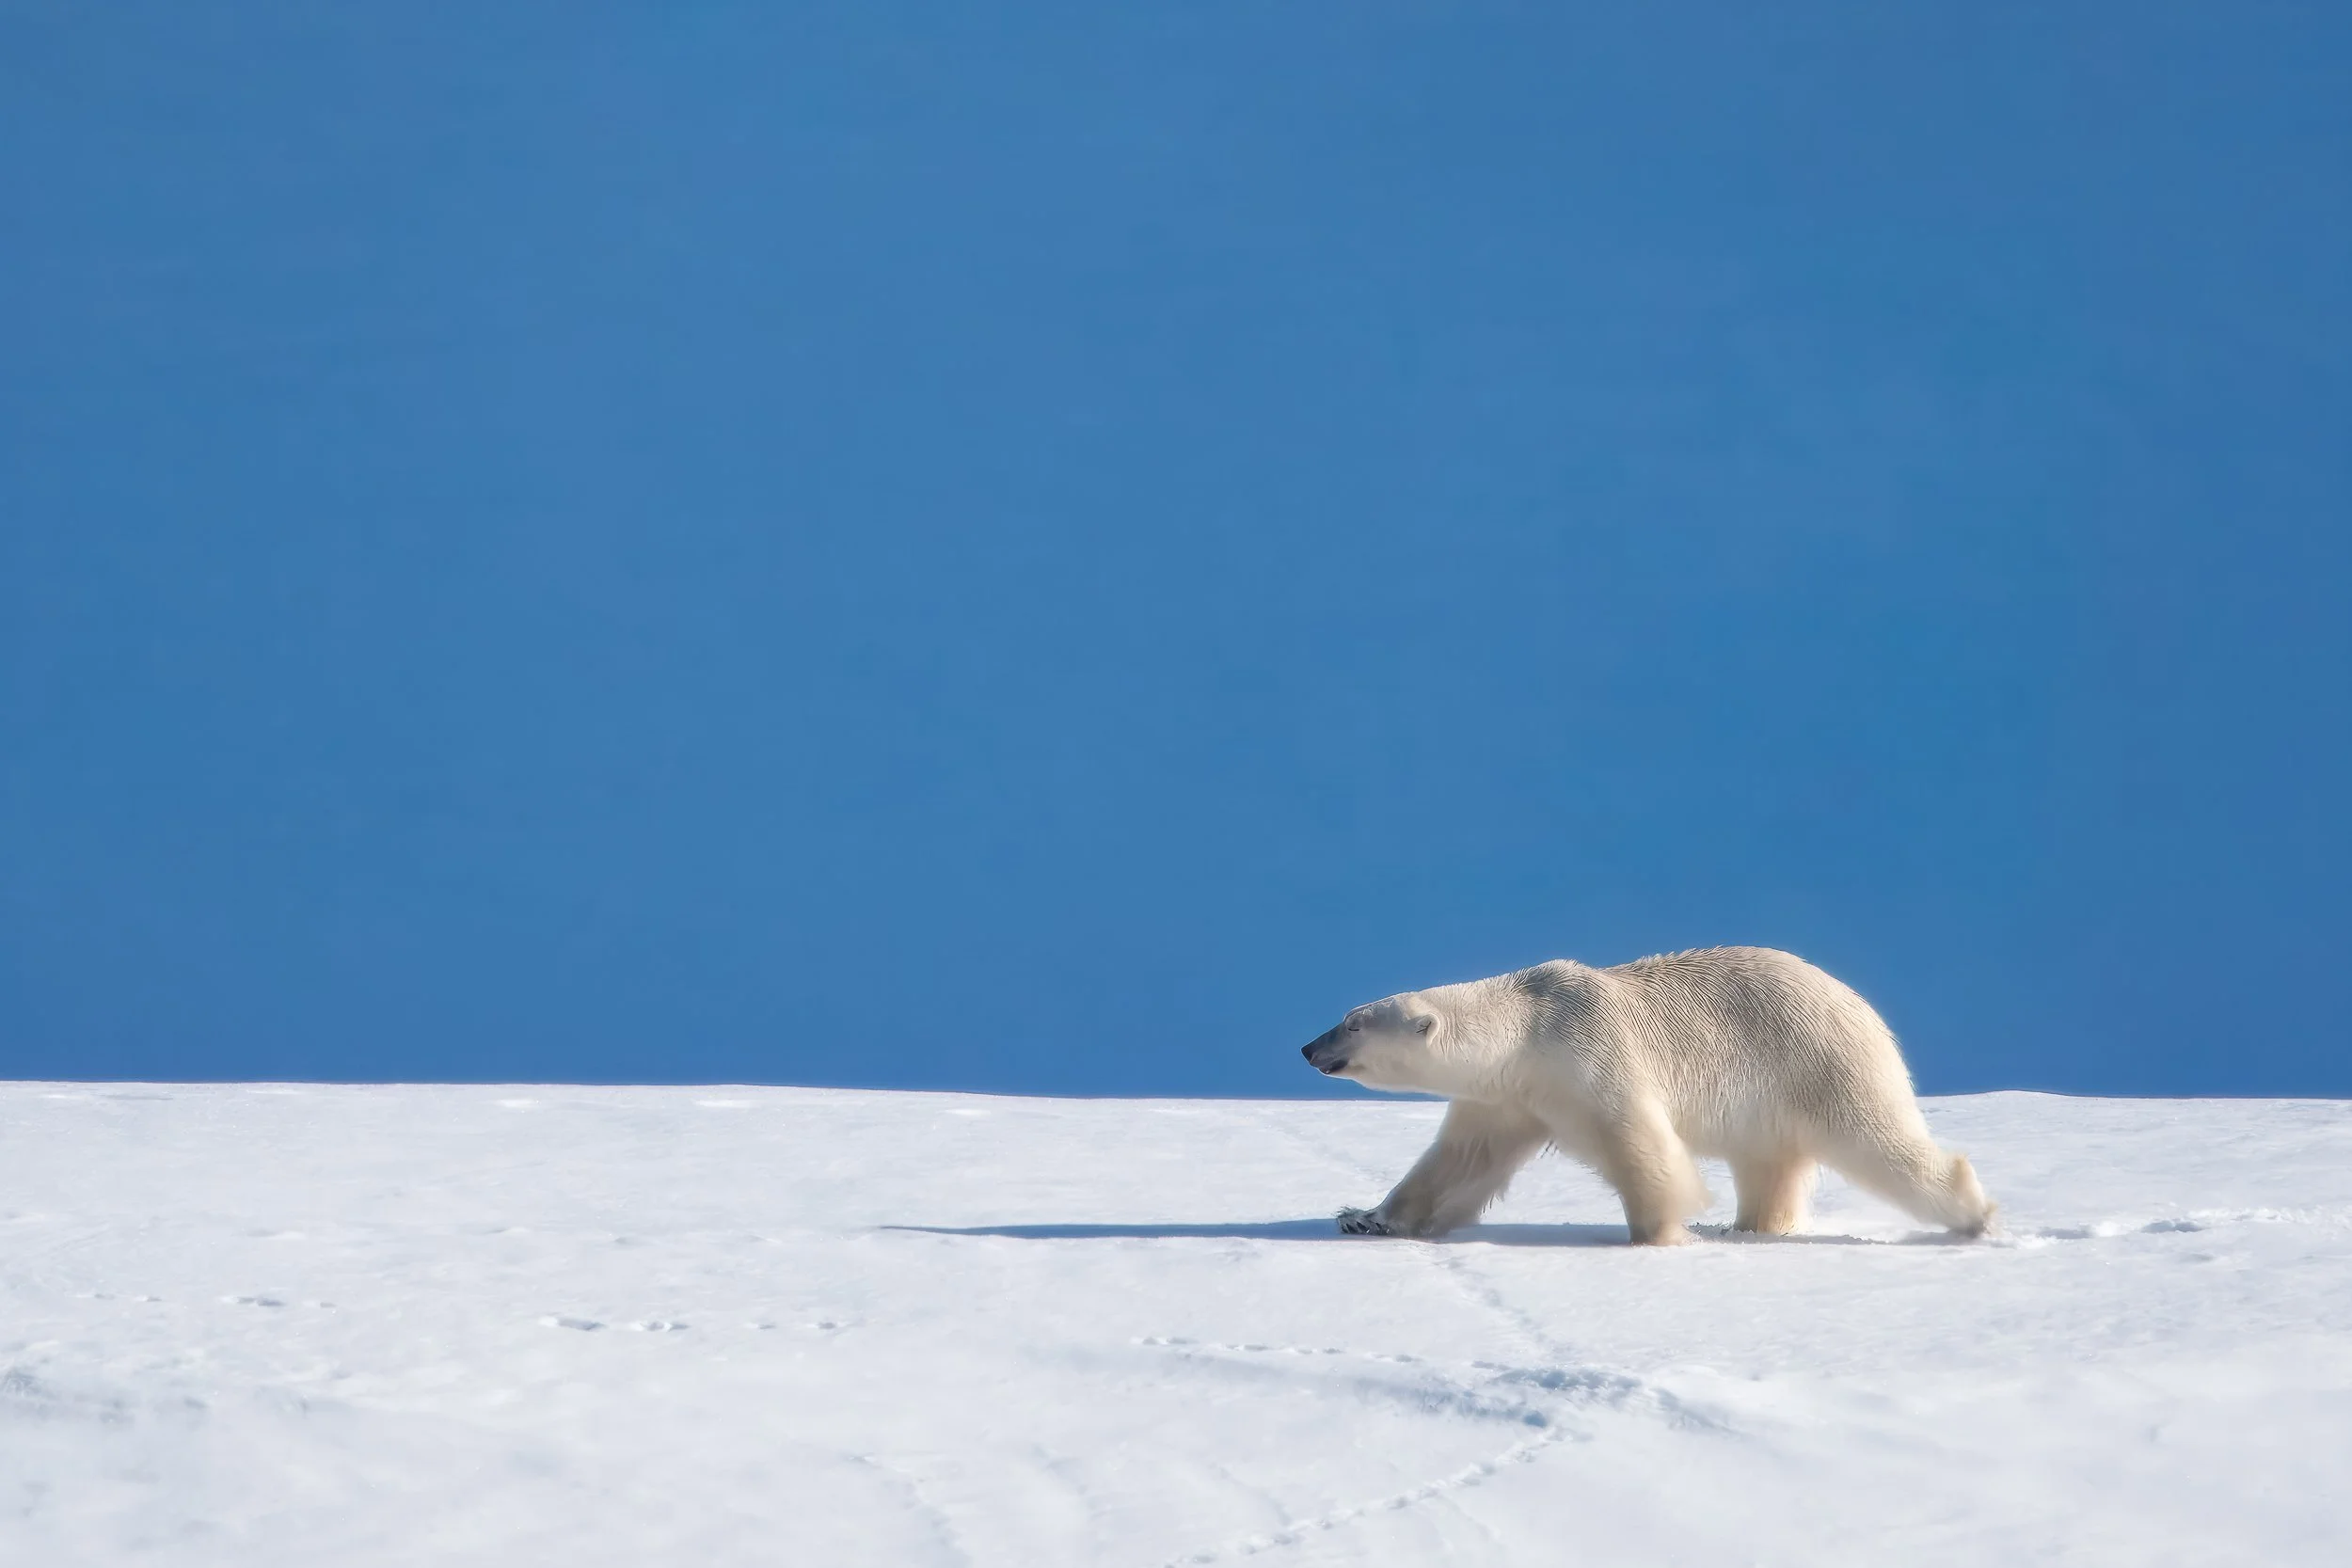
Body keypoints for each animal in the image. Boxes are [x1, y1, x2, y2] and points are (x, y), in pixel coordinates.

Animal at [1300, 946, 1994, 1245]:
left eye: (1351, 1024)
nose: (1307, 1047)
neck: (1527, 1025)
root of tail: (1862, 1006)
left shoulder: (1587, 1051)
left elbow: (1638, 1143)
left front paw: (1658, 1235)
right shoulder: (1510, 1095)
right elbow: (1459, 1162)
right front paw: (1366, 1218)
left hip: (1820, 1062)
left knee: (1880, 1142)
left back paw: (1977, 1217)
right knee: (1768, 1164)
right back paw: (1750, 1227)